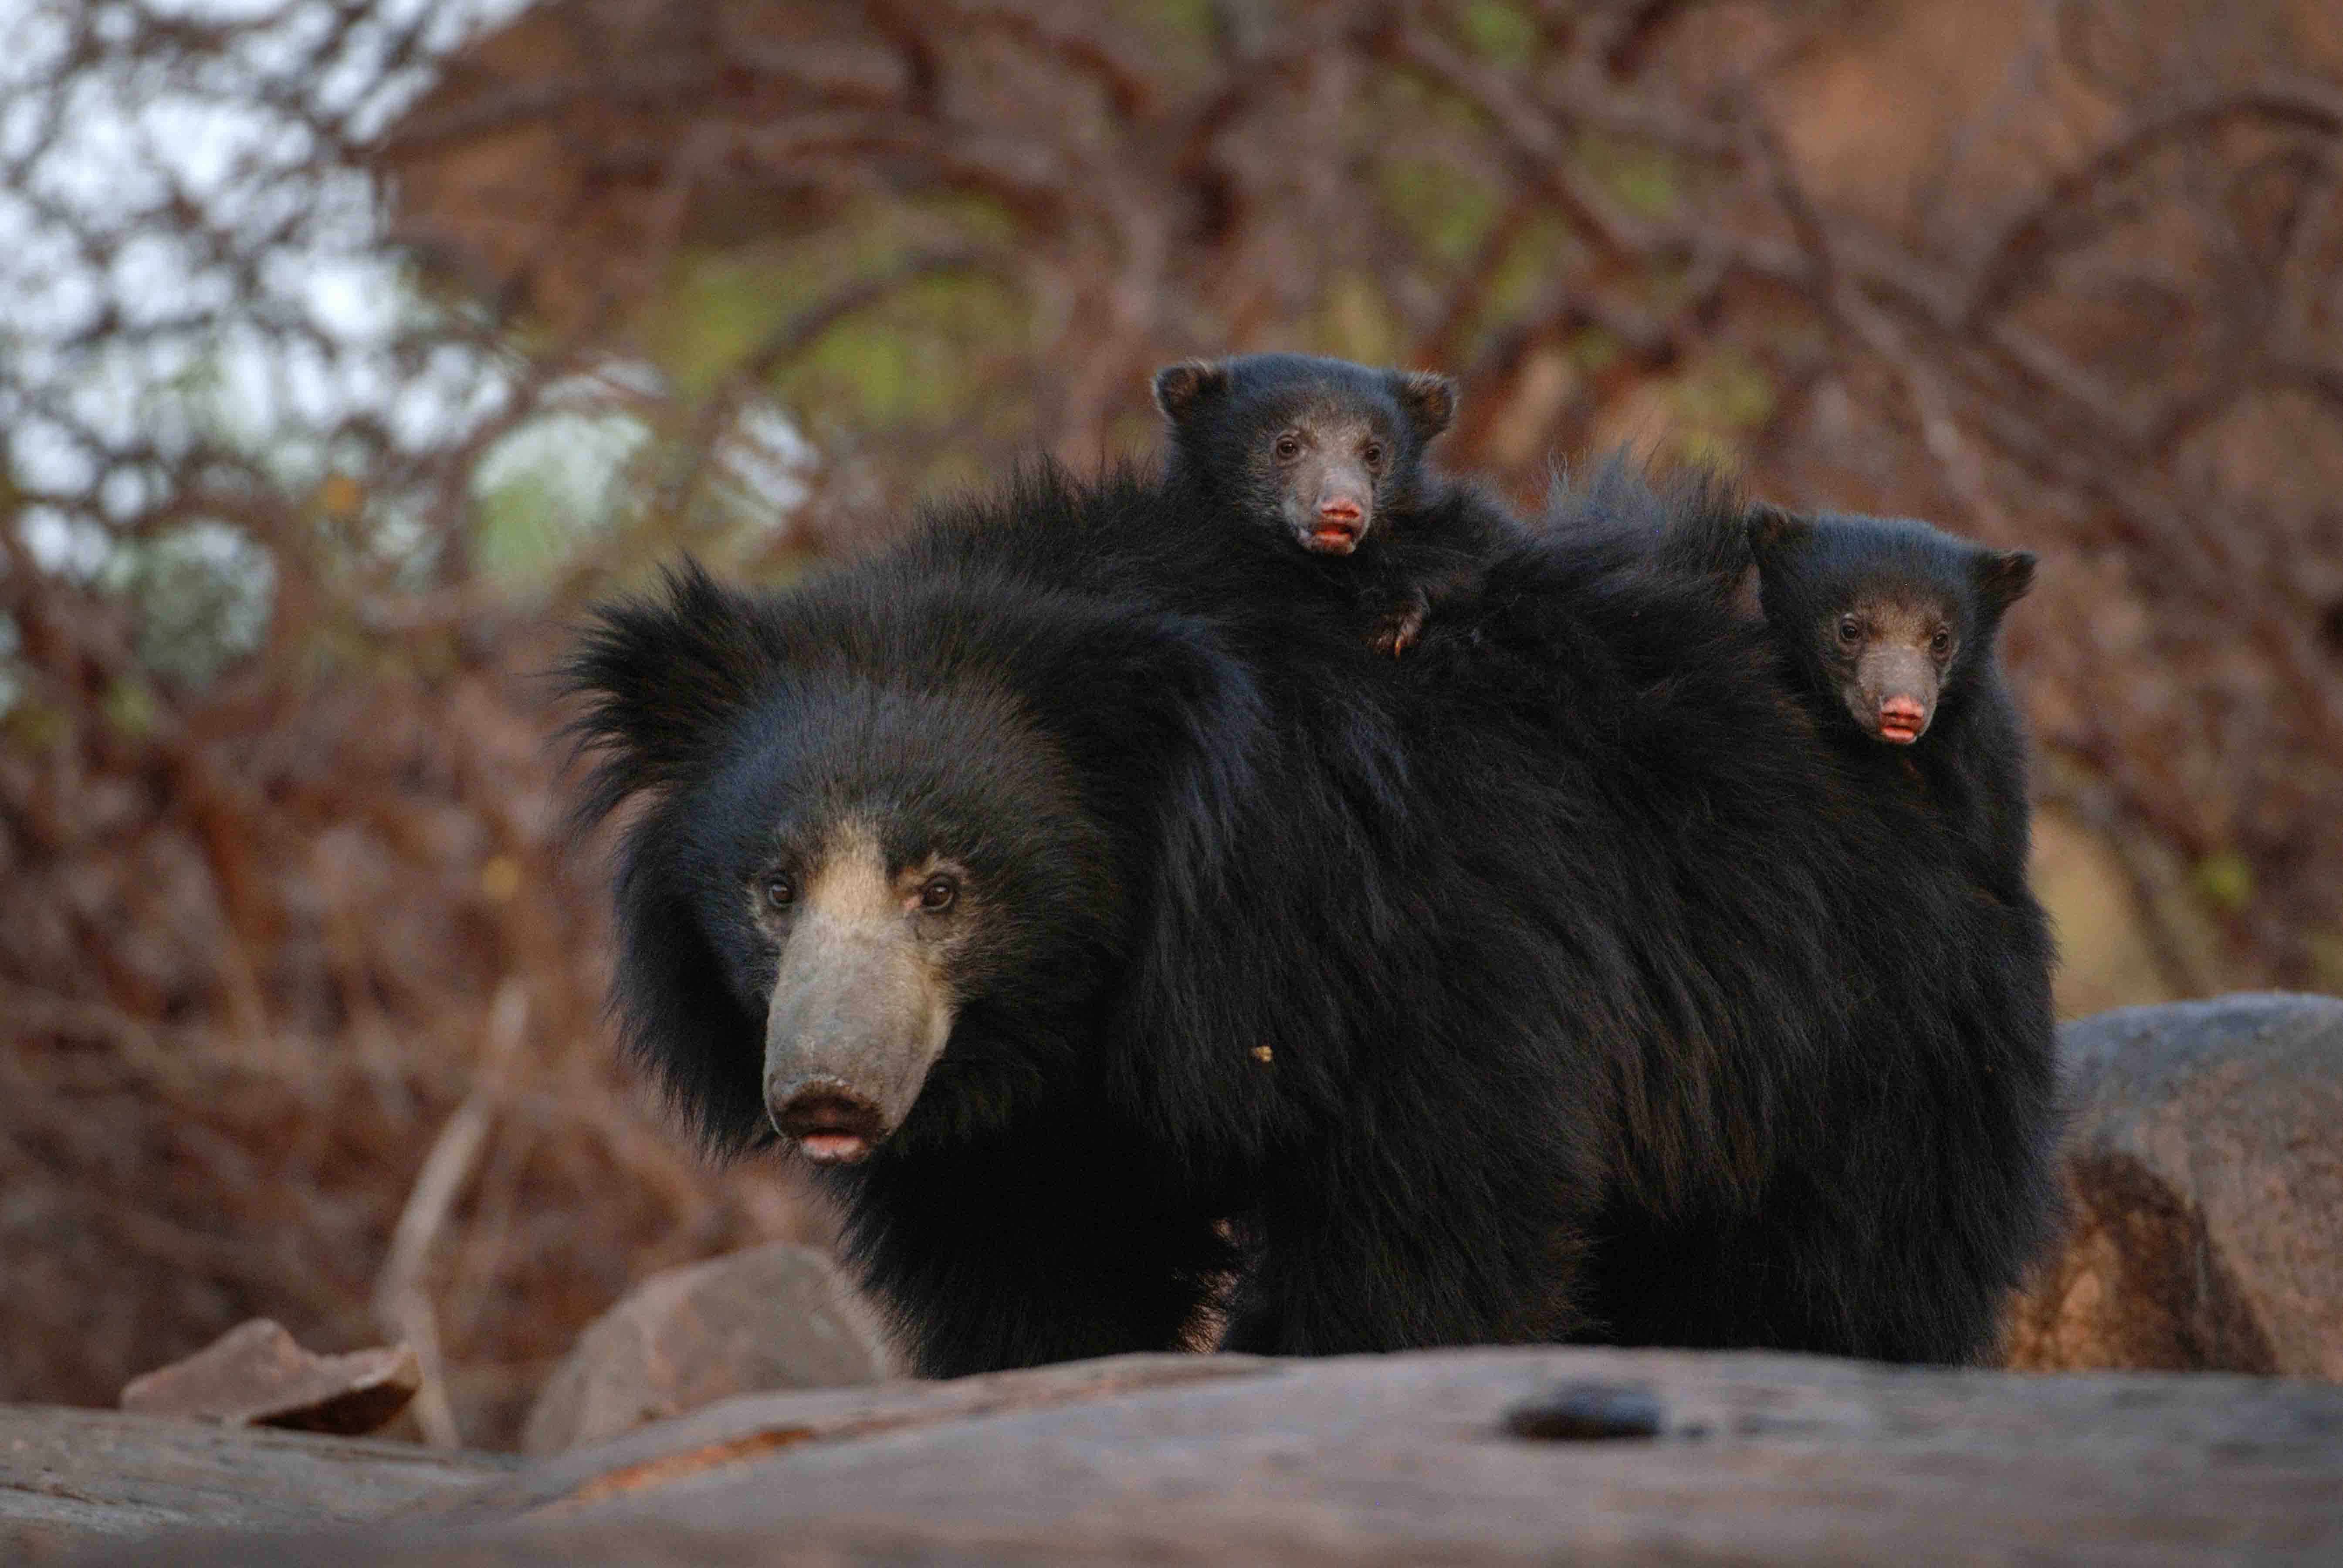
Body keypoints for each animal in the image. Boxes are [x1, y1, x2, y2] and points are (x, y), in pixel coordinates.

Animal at [576, 459, 2062, 1378]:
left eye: (943, 888)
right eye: (772, 888)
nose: (824, 1094)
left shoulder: (1422, 933)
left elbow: (1428, 1208)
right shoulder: (1031, 1114)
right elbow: (1030, 1258)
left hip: (1855, 1032)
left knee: (1839, 1274)